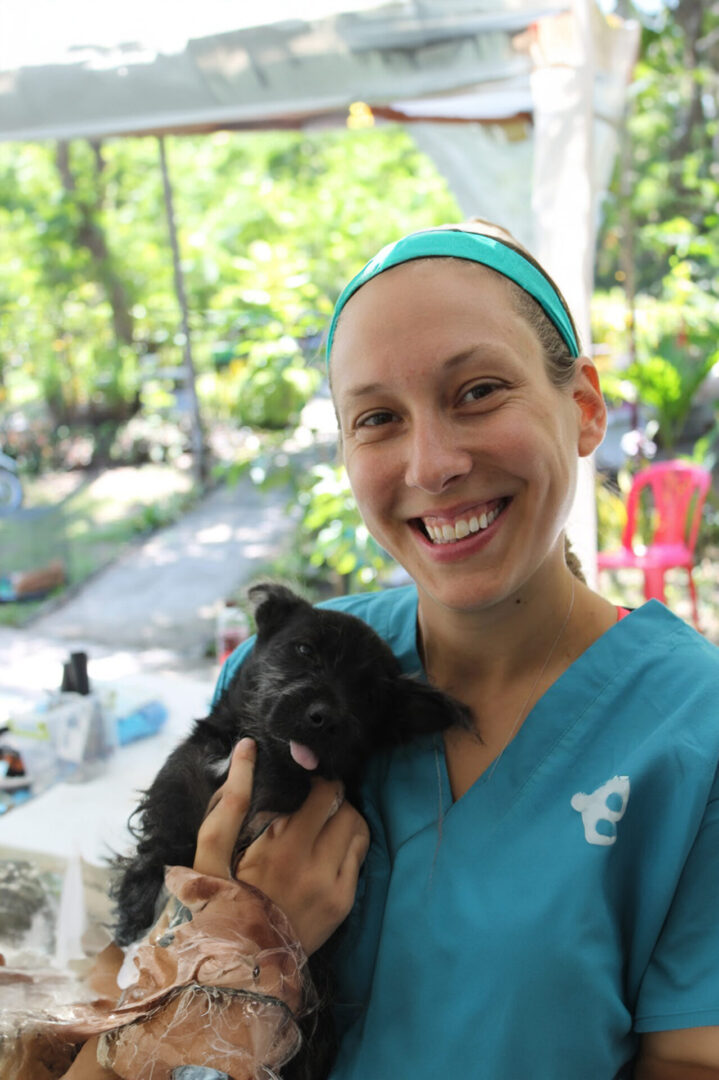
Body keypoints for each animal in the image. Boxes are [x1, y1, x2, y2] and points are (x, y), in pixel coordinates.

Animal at [110, 587, 470, 1075]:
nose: (325, 717)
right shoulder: (190, 765)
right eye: (304, 650)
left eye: (371, 695)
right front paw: (134, 905)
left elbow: (287, 784)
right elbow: (165, 824)